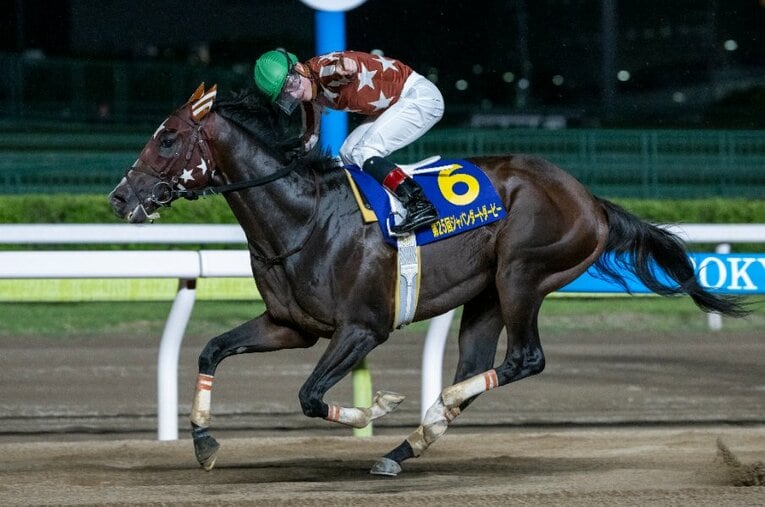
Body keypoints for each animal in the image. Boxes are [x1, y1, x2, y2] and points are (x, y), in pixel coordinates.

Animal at [108, 84, 747, 476]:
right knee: (479, 366)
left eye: (168, 138)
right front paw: (203, 444)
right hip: (486, 295)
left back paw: (428, 412)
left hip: (522, 273)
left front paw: (378, 405)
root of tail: (591, 200)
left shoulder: (363, 328)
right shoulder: (290, 326)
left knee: (524, 360)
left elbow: (311, 396)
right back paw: (408, 442)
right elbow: (212, 351)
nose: (119, 197)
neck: (304, 218)